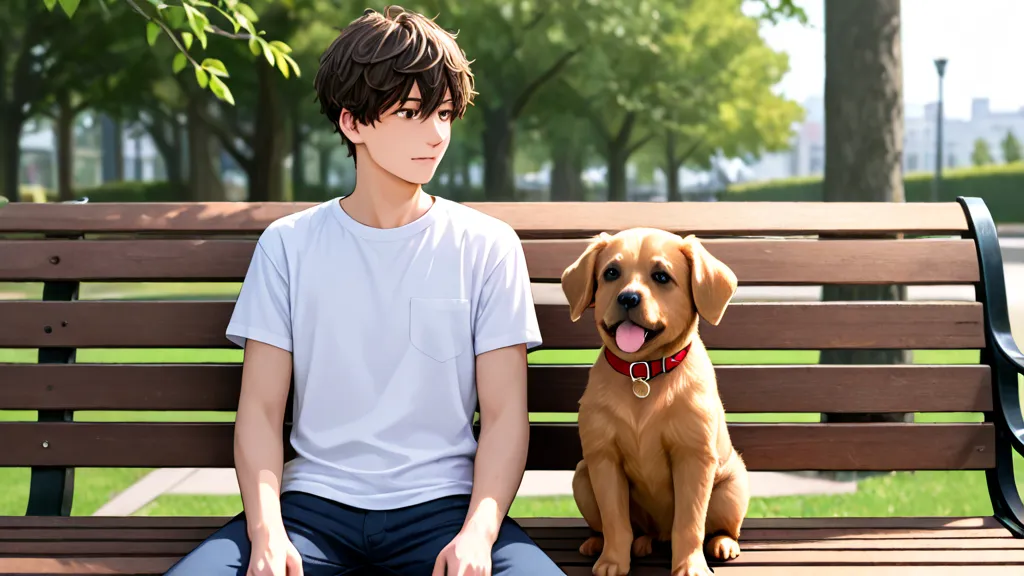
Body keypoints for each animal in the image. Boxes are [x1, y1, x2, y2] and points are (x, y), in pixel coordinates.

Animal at [565, 226, 749, 569]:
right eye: (611, 273)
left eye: (661, 276)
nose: (628, 297)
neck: (643, 372)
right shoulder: (604, 458)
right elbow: (615, 521)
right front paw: (613, 561)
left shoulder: (692, 457)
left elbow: (690, 523)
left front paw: (690, 565)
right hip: (582, 478)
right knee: (623, 529)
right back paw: (606, 543)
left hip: (732, 488)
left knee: (720, 527)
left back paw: (723, 543)